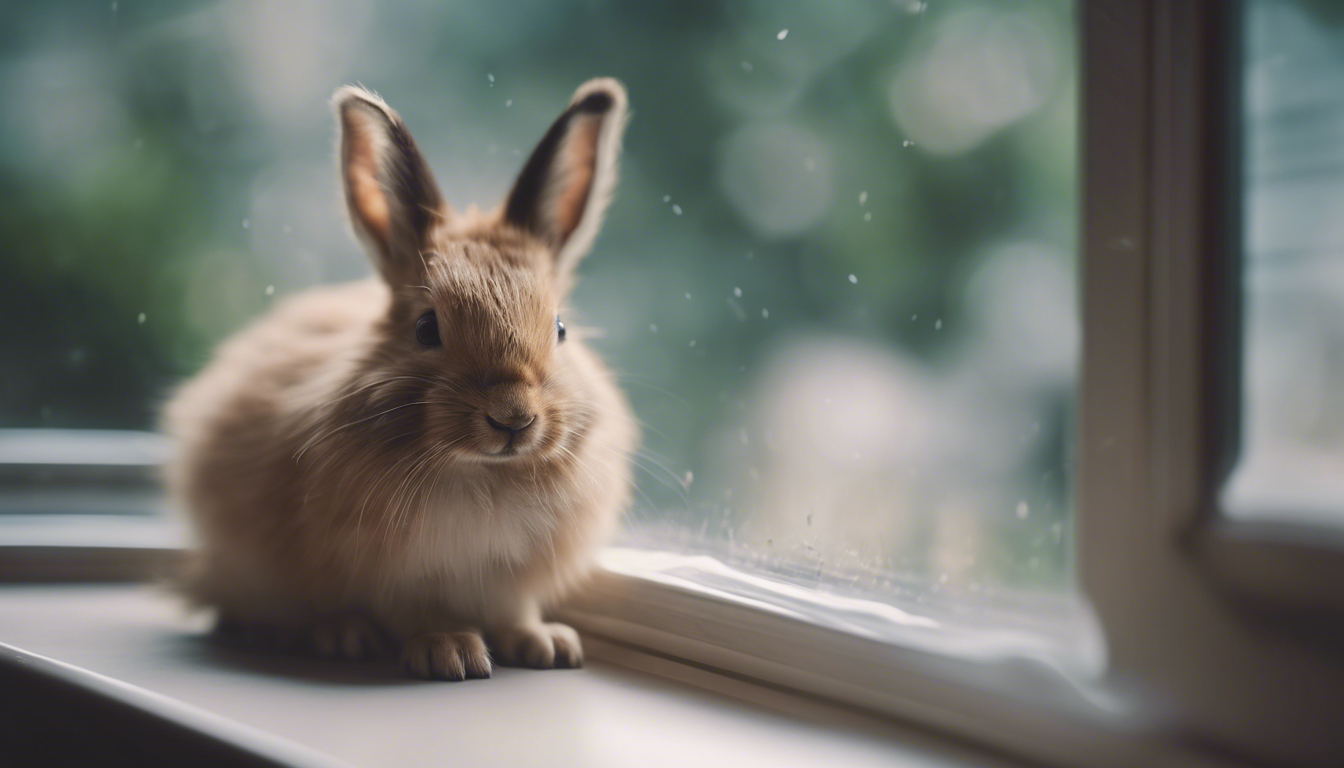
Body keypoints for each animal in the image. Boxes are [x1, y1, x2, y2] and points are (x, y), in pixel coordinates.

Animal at [161, 78, 634, 677]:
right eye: (426, 328)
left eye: (561, 328)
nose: (513, 418)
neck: (483, 472)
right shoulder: (397, 574)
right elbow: (419, 611)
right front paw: (449, 652)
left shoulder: (513, 581)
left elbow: (515, 612)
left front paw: (544, 645)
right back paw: (339, 635)